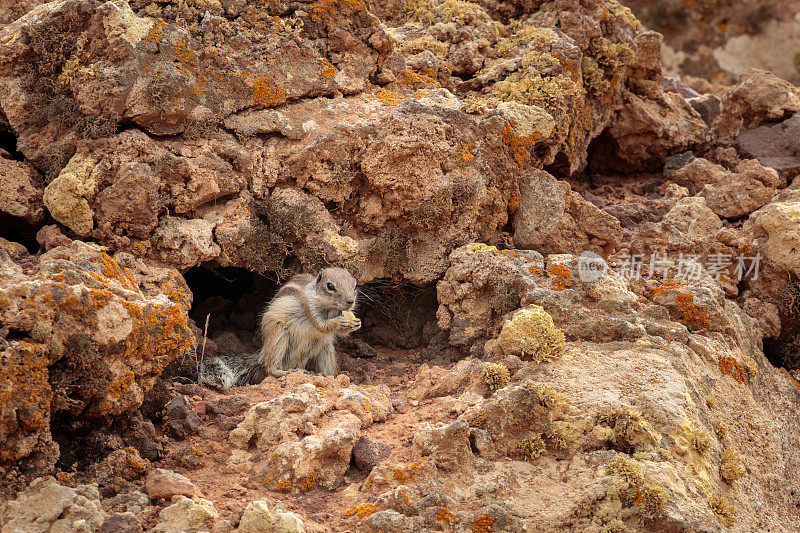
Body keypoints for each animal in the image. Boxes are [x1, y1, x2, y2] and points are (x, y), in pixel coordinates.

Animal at [198, 268, 360, 388]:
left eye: (355, 285)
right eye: (330, 286)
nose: (350, 301)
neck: (330, 309)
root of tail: (261, 355)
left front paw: (356, 323)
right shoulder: (309, 307)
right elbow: (321, 325)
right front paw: (339, 321)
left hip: (324, 348)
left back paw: (331, 377)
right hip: (278, 337)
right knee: (270, 367)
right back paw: (284, 372)